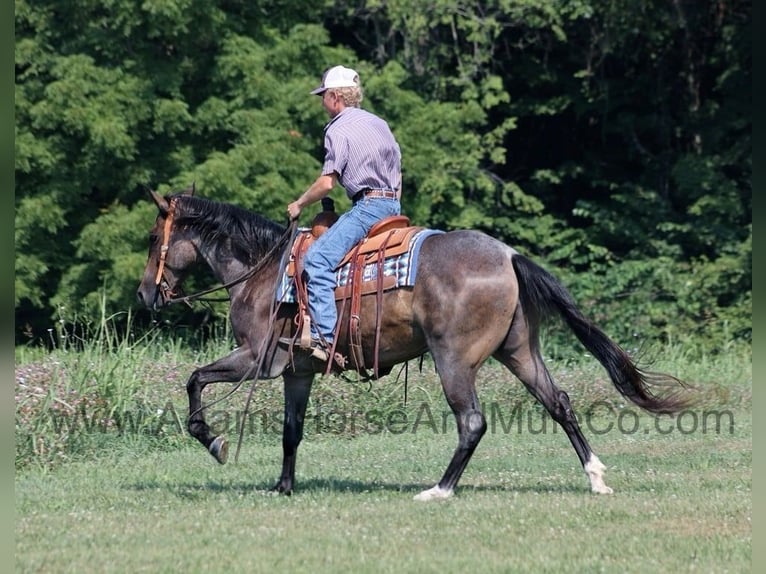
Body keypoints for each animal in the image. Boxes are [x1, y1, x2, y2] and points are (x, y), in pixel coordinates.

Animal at [135, 188, 692, 500]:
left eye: (152, 238)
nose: (145, 294)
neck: (264, 270)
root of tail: (508, 254)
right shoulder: (297, 372)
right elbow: (292, 432)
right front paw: (284, 487)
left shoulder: (259, 359)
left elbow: (195, 380)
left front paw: (213, 441)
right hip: (519, 352)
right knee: (559, 402)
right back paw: (596, 477)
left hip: (454, 360)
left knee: (472, 422)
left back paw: (440, 490)